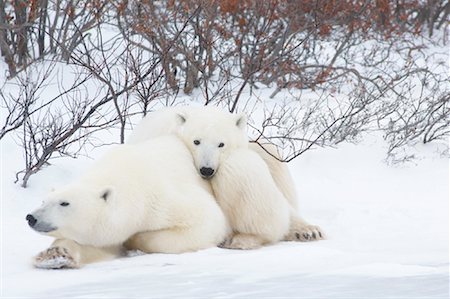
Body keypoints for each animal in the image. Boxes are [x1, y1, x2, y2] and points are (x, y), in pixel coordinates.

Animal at [27, 137, 229, 270]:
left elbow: (206, 220)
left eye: (64, 203)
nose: (31, 217)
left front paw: (135, 239)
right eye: (43, 200)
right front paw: (53, 255)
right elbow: (97, 246)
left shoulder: (162, 199)